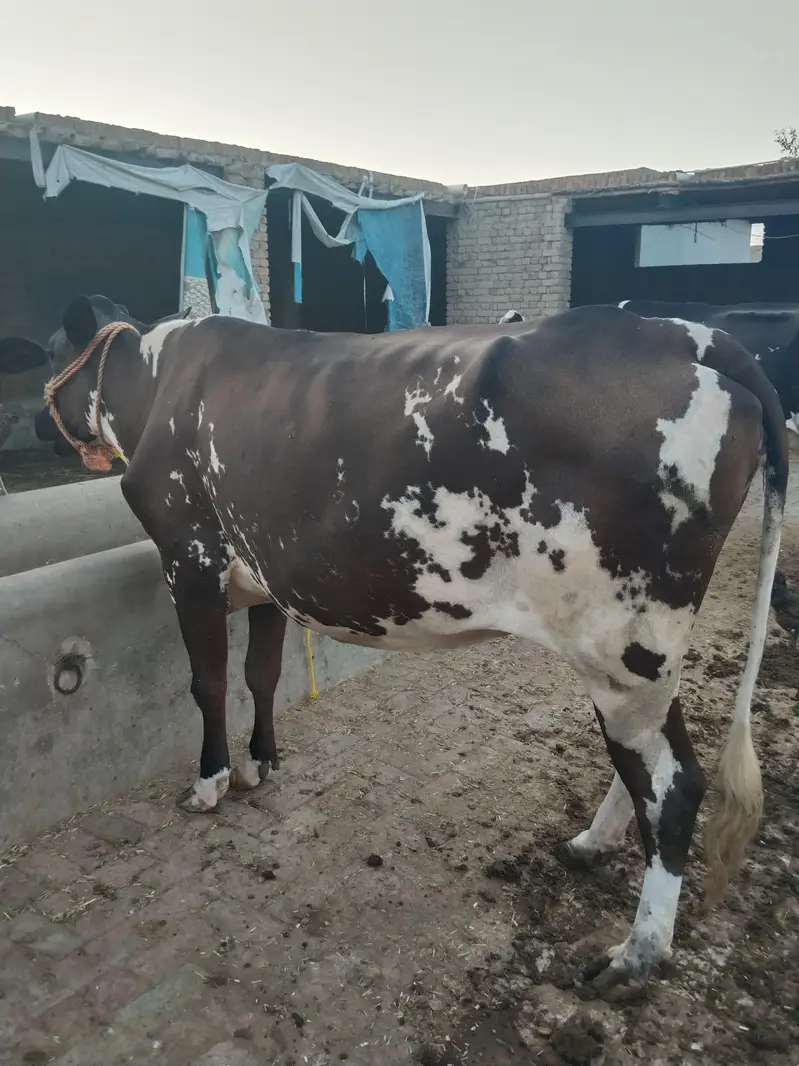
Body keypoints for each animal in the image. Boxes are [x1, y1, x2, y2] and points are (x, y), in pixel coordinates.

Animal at [1, 297, 787, 990]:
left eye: (55, 350)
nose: (38, 416)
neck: (159, 383)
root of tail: (683, 332)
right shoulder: (265, 574)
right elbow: (261, 672)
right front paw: (262, 763)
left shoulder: (187, 558)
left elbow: (210, 681)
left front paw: (210, 782)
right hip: (636, 659)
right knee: (645, 770)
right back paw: (589, 846)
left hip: (624, 641)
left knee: (674, 783)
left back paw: (635, 954)